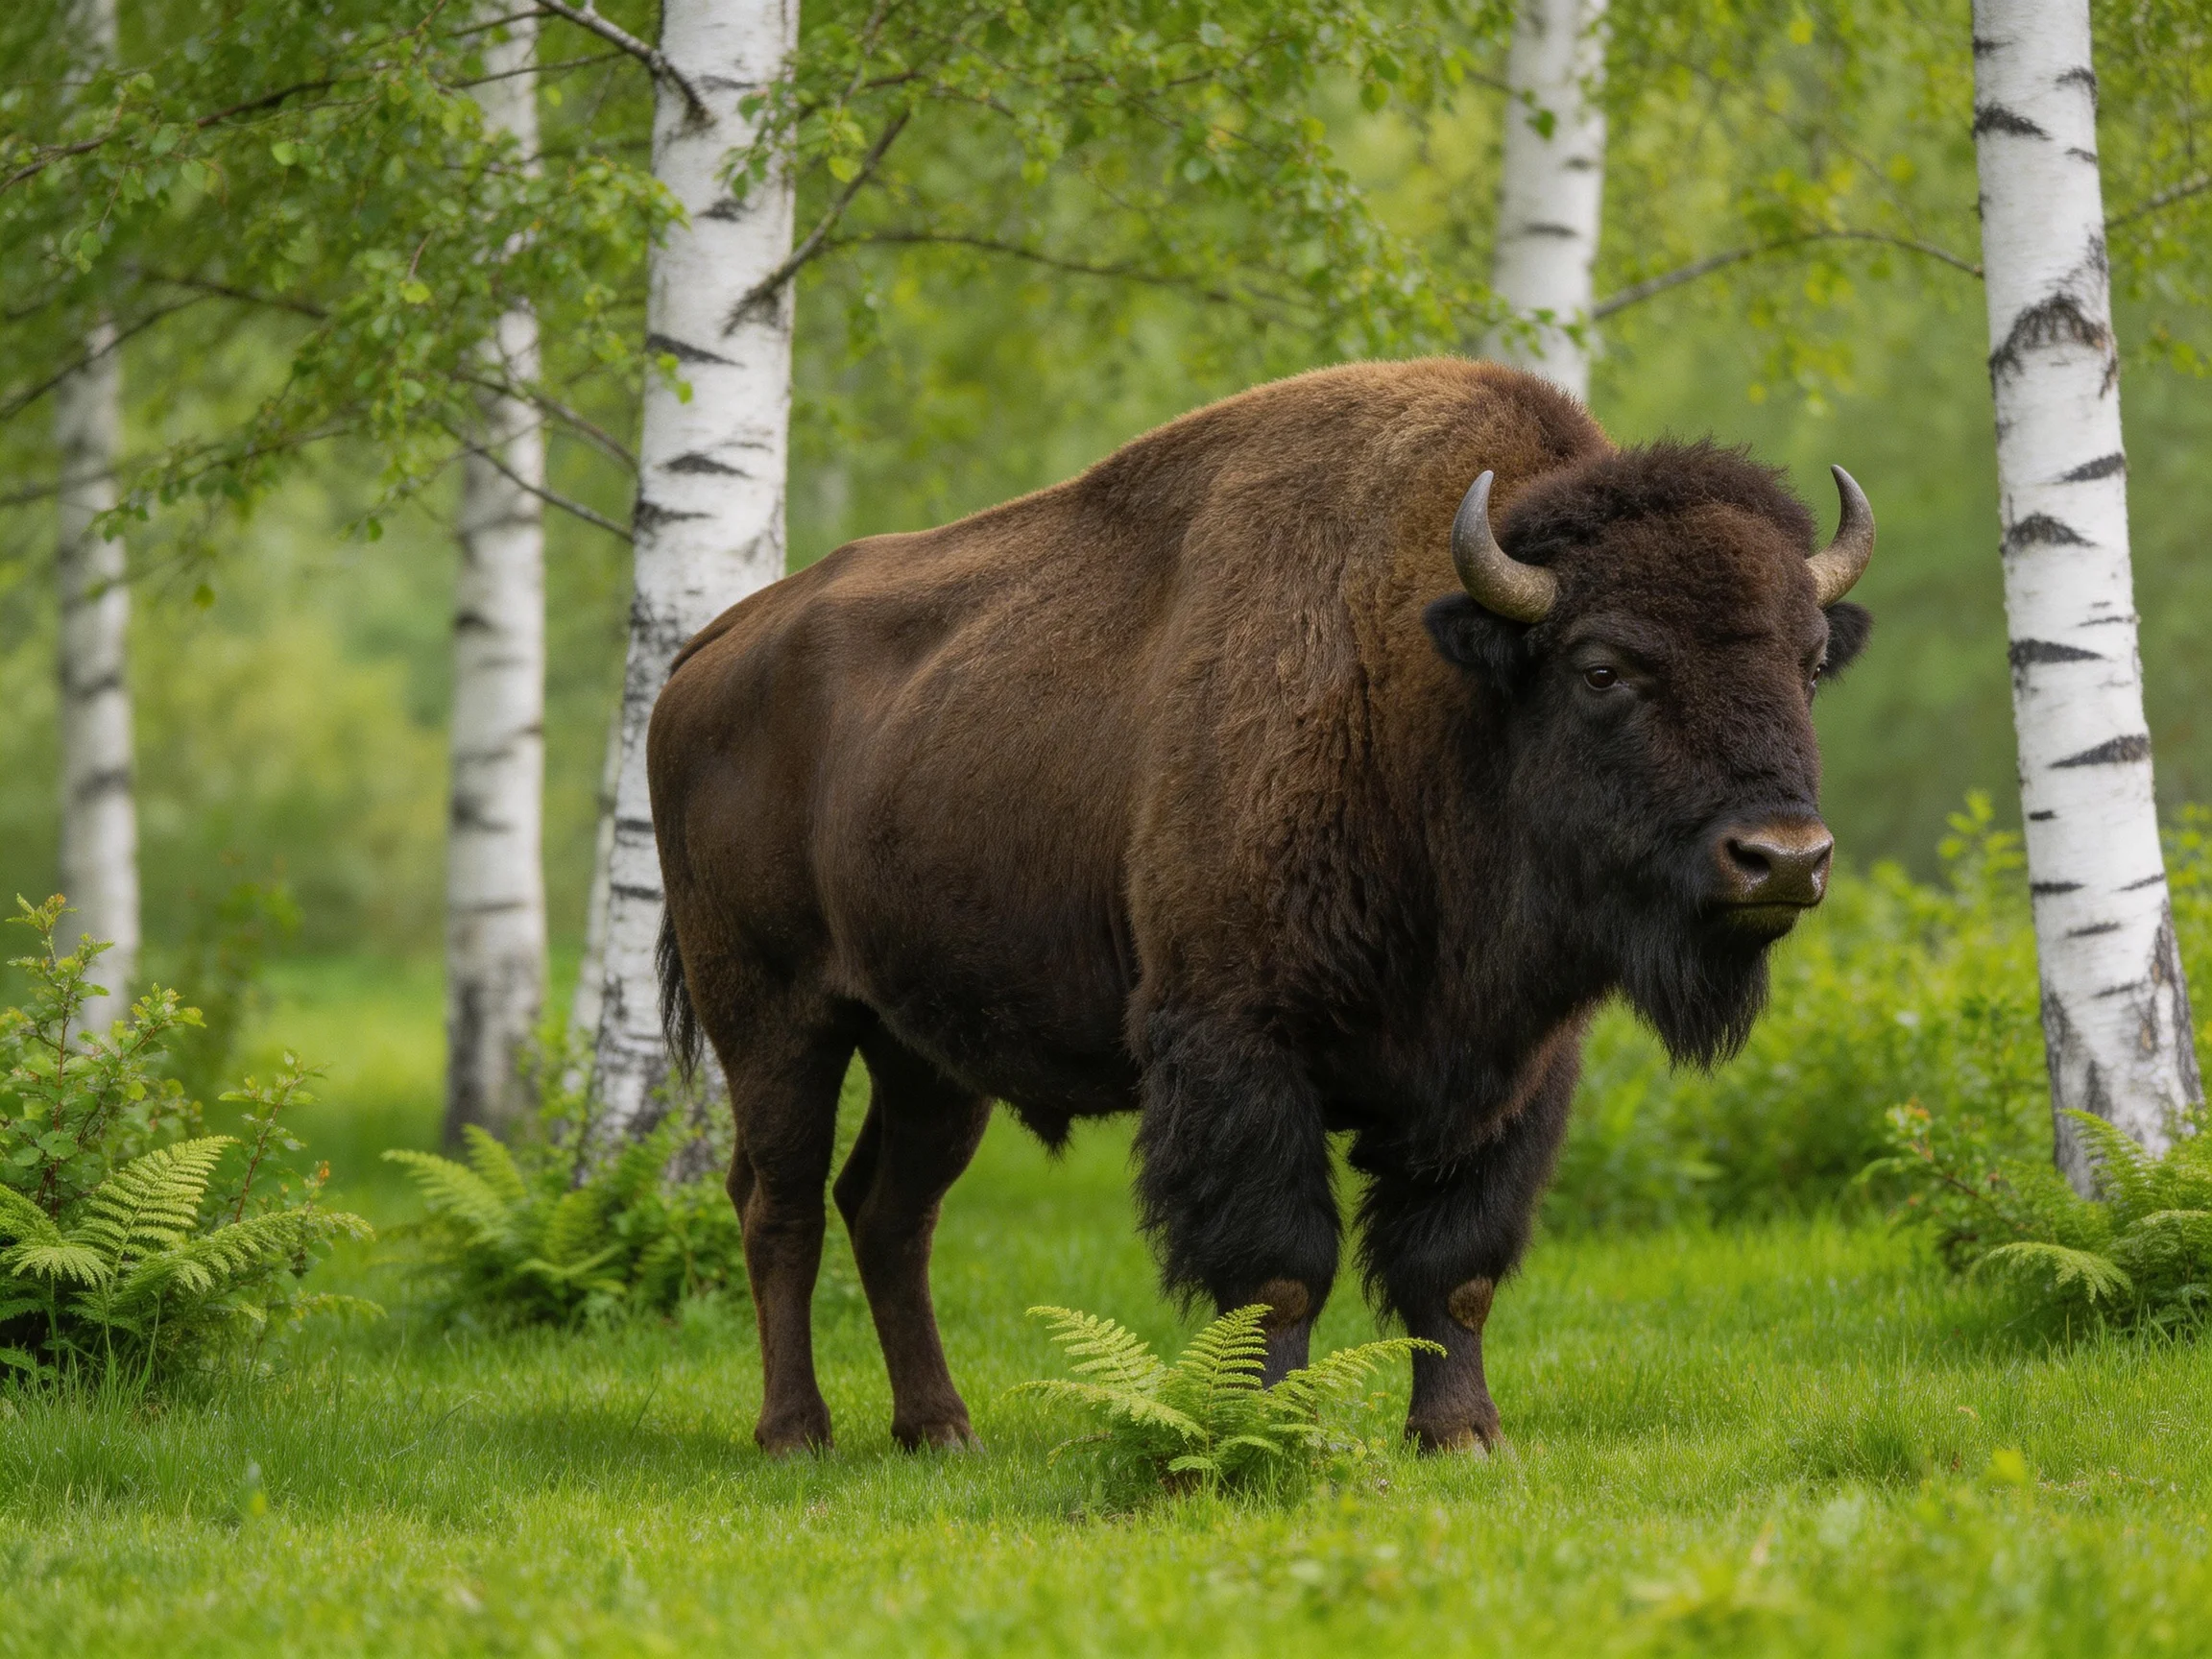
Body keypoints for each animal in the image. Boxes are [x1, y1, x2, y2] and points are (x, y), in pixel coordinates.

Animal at [650, 358, 1874, 1454]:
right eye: (1603, 667)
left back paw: (940, 1430)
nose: (1783, 859)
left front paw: (1462, 1436)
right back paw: (796, 1434)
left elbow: (1454, 1270)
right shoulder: (1241, 1046)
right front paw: (1271, 1436)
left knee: (890, 1211)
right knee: (779, 1204)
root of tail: (706, 655)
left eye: (1810, 662)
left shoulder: (1509, 1073)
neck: (1428, 688)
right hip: (776, 1021)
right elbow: (1280, 1270)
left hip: (928, 1056)